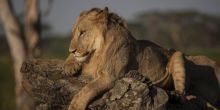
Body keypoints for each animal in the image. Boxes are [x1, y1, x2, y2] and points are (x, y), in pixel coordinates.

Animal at [62, 7, 220, 109]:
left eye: (83, 32)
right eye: (73, 33)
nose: (72, 50)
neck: (96, 52)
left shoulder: (110, 76)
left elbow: (87, 89)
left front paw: (75, 106)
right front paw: (69, 65)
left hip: (178, 54)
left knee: (184, 95)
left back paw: (175, 96)